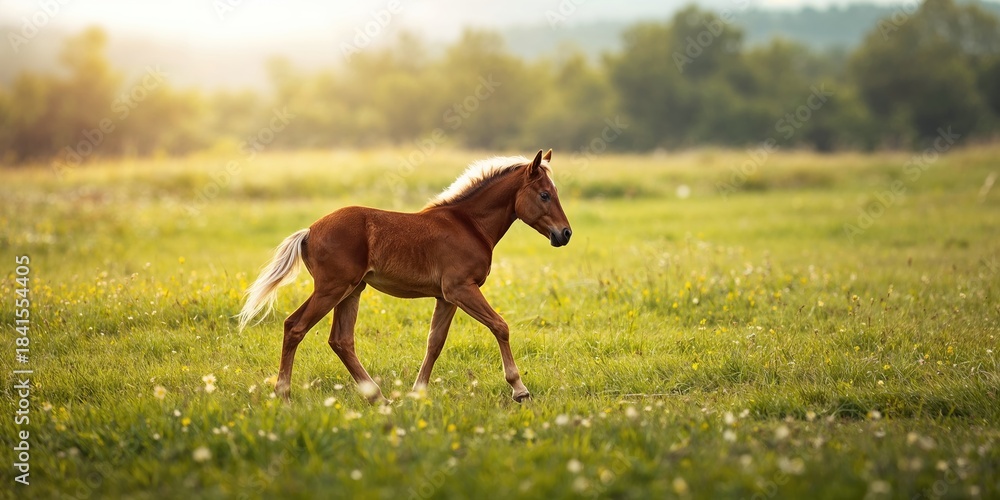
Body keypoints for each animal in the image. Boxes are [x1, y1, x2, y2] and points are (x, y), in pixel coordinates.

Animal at [237, 149, 572, 402]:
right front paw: (519, 390)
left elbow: (435, 342)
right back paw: (284, 395)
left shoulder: (446, 297)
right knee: (295, 327)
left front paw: (417, 393)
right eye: (544, 195)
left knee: (341, 340)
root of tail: (309, 231)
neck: (469, 224)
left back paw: (378, 398)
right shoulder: (461, 289)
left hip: (352, 291)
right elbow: (500, 326)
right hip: (332, 289)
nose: (565, 234)